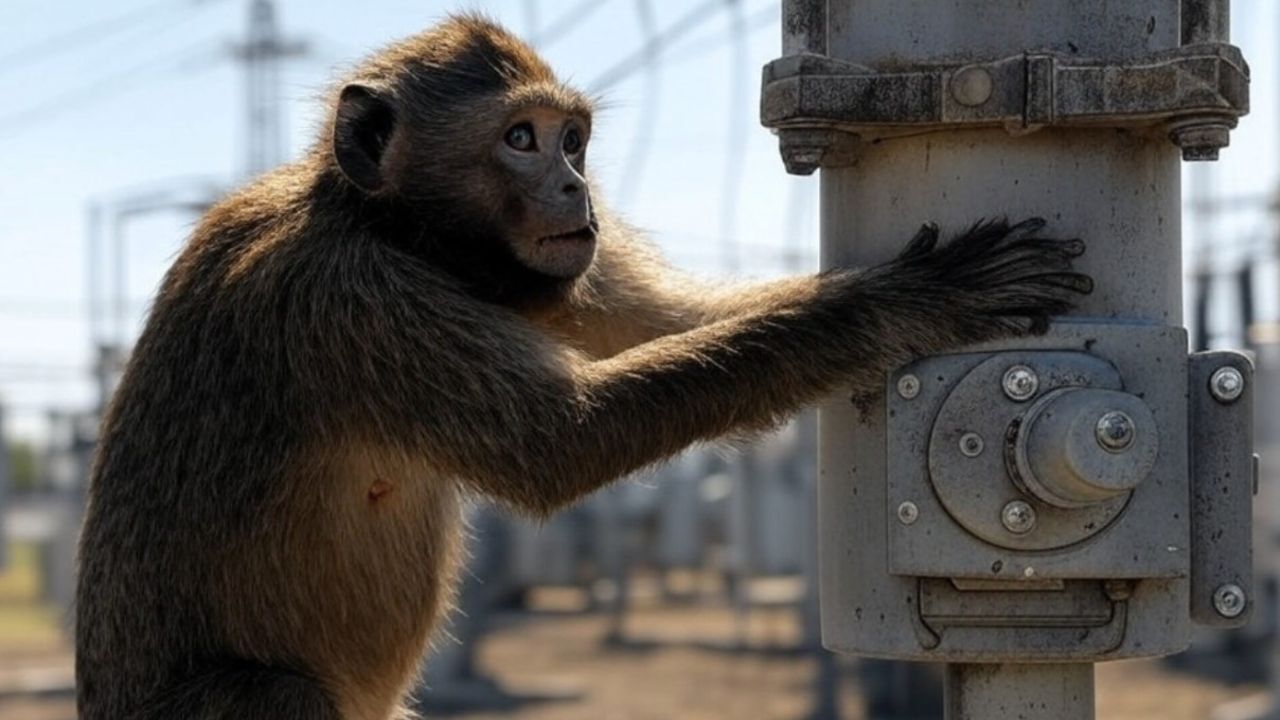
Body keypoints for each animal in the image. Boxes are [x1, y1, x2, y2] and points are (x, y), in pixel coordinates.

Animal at [72, 11, 1090, 717]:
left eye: (572, 139)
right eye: (519, 138)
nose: (577, 188)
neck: (379, 224)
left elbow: (669, 321)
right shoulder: (349, 301)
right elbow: (561, 443)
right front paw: (903, 299)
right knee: (278, 696)